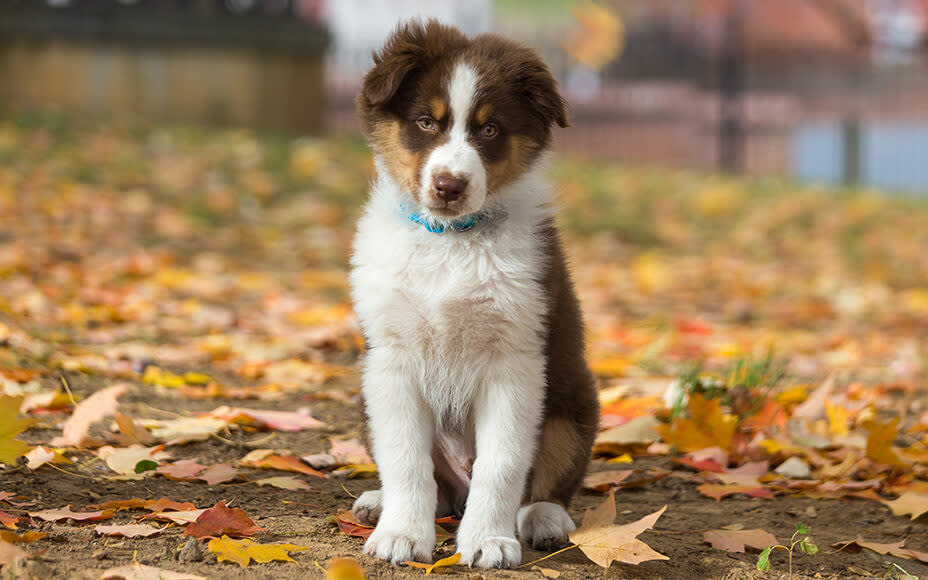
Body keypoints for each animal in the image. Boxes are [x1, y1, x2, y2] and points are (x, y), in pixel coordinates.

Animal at [350, 19, 600, 572]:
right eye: (426, 122)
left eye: (489, 130)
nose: (449, 185)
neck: (450, 241)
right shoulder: (391, 361)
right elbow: (405, 460)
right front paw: (401, 534)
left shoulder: (514, 361)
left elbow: (502, 463)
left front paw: (488, 540)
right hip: (364, 398)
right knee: (437, 488)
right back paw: (380, 503)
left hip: (573, 404)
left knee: (547, 481)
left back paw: (545, 520)